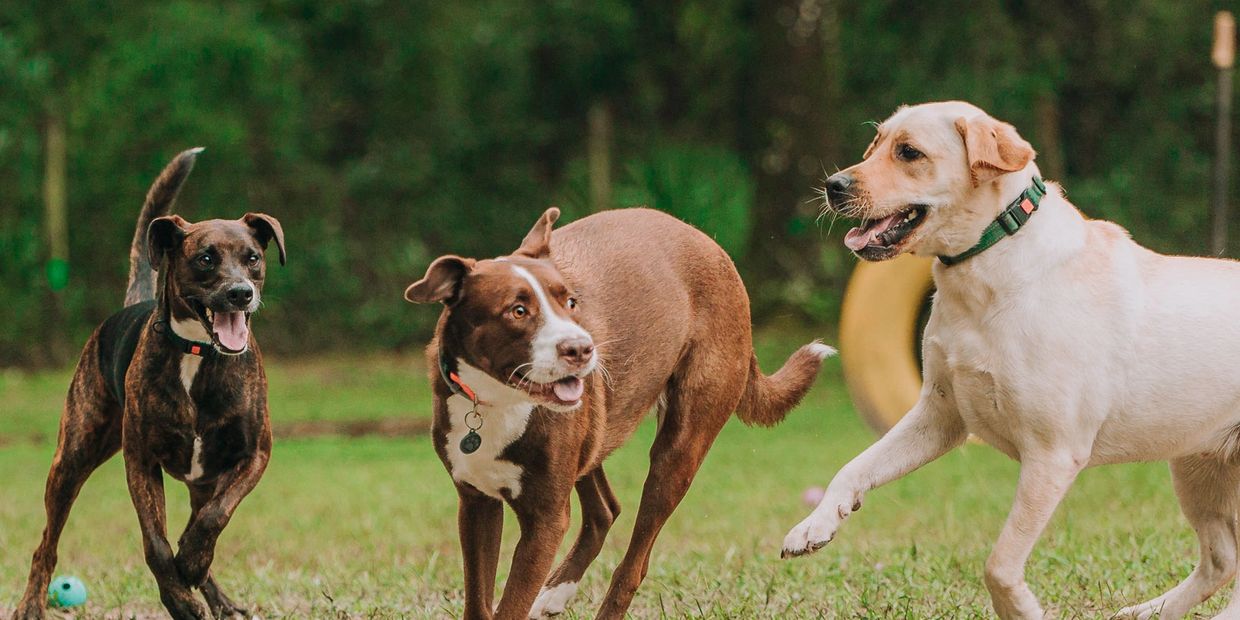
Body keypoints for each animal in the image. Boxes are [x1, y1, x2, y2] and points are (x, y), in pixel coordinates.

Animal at [14, 150, 285, 620]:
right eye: (206, 259)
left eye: (252, 257)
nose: (240, 293)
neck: (198, 351)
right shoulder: (140, 460)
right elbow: (156, 543)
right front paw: (178, 597)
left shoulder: (253, 455)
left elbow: (213, 518)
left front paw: (191, 564)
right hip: (71, 459)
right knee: (46, 544)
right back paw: (32, 604)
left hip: (201, 478)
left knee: (202, 517)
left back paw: (215, 593)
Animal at [406, 208, 833, 620]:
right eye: (518, 310)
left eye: (571, 302)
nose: (582, 349)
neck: (497, 401)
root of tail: (714, 248)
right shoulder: (476, 503)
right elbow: (479, 602)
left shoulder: (545, 519)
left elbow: (511, 605)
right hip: (595, 433)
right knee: (605, 511)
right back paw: (555, 592)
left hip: (680, 446)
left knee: (635, 561)